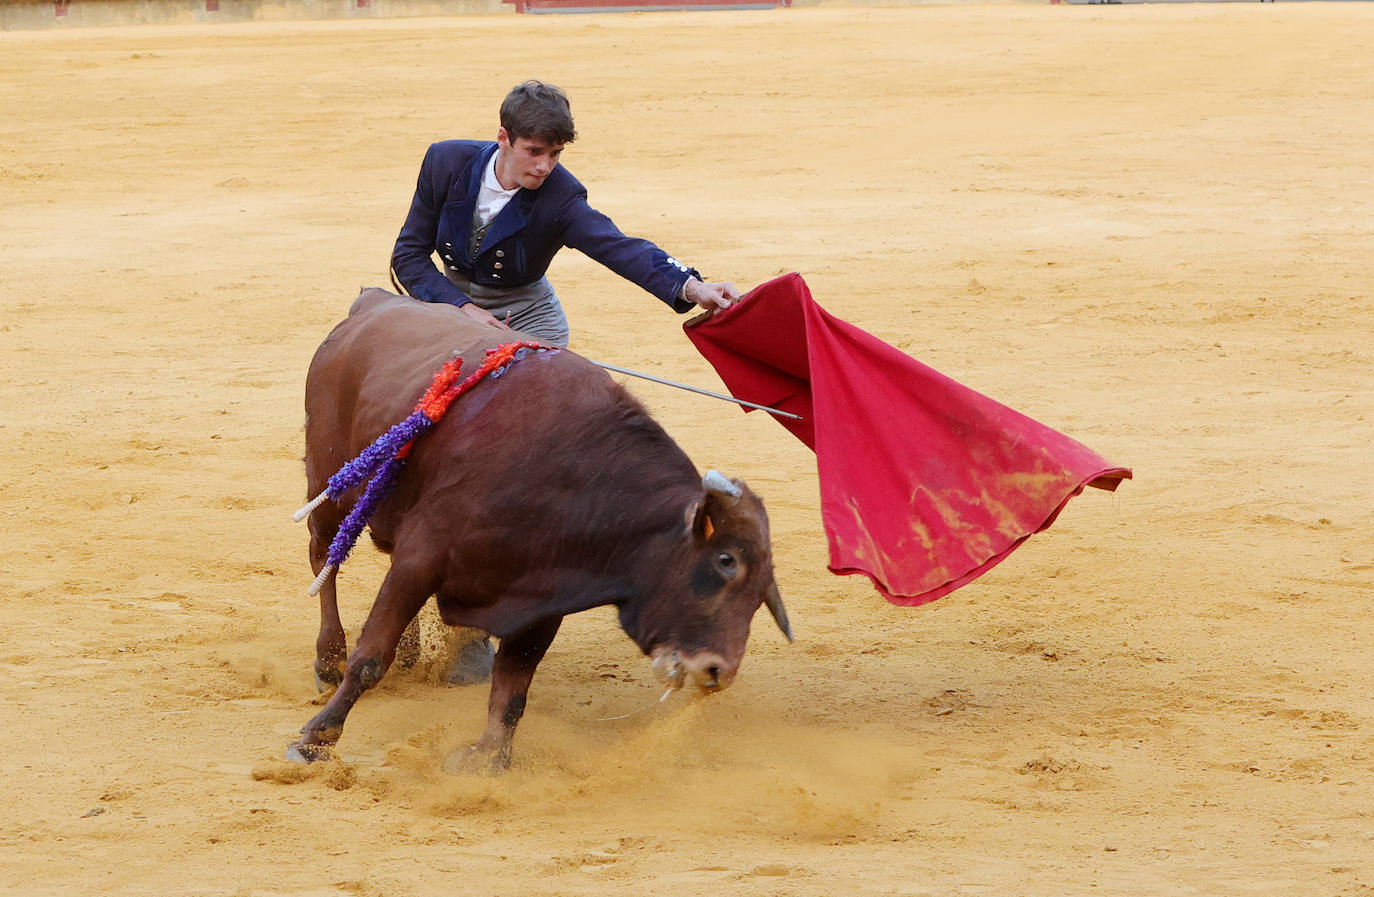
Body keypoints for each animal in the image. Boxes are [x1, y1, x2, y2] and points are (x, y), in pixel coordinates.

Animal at [284, 289, 791, 774]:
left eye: (763, 592)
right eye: (725, 561)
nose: (717, 672)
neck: (570, 475)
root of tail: (373, 302)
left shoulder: (544, 598)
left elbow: (513, 686)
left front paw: (487, 760)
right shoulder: (421, 557)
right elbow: (371, 656)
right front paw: (314, 741)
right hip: (331, 480)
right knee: (324, 557)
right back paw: (328, 658)